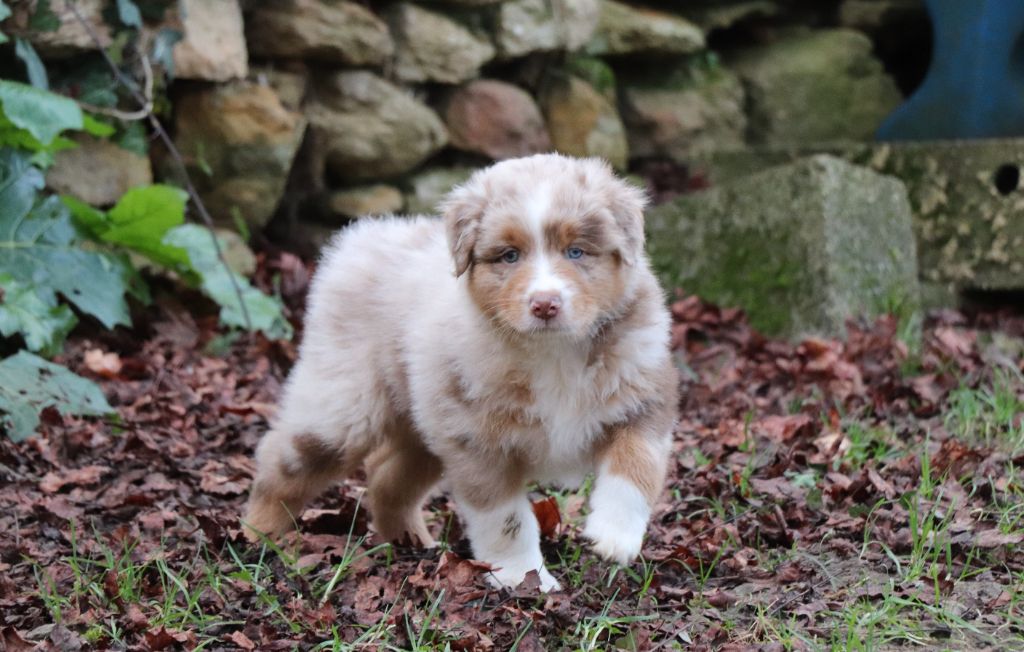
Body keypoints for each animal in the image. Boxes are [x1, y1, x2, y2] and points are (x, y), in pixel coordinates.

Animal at [244, 153, 679, 589]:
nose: (545, 304)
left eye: (576, 252)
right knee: (283, 459)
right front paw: (525, 578)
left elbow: (636, 465)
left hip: (424, 426)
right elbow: (506, 520)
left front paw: (613, 537)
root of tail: (366, 235)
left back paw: (408, 540)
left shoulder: (644, 397)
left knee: (386, 476)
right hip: (344, 407)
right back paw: (256, 538)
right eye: (509, 256)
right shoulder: (477, 440)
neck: (554, 353)